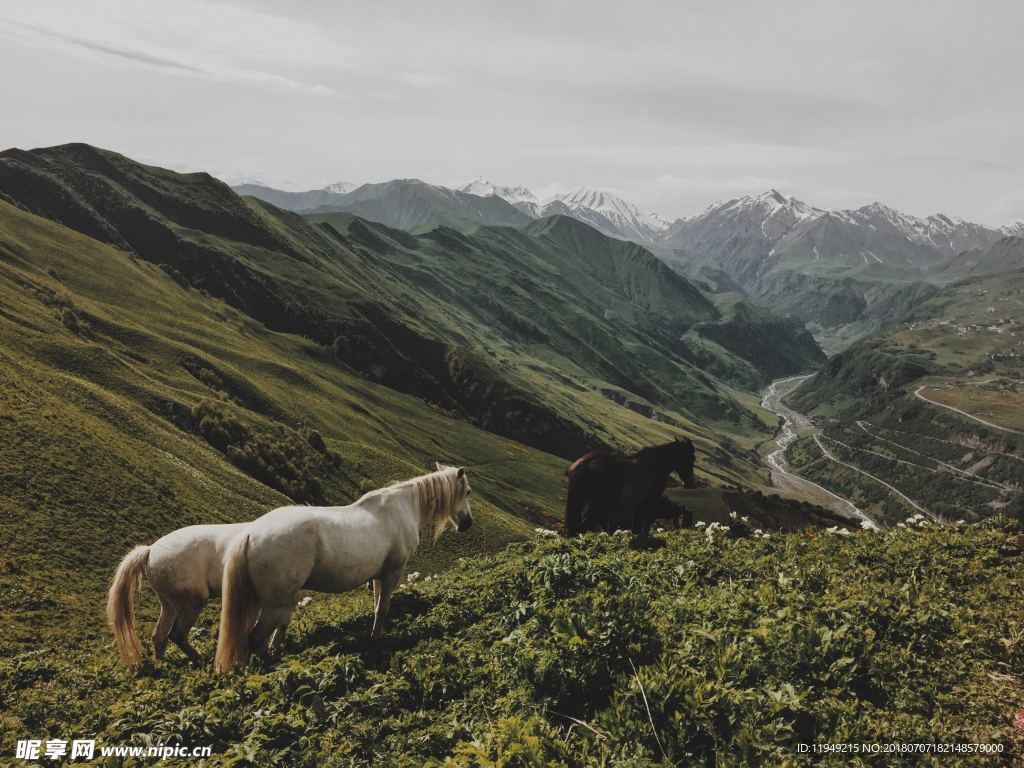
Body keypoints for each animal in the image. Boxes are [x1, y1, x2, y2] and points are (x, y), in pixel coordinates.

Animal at [106, 524, 247, 667]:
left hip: (169, 605)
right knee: (177, 634)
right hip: (193, 602)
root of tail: (150, 550)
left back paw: (162, 664)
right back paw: (199, 661)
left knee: (159, 635)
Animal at [218, 462, 473, 671]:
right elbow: (383, 607)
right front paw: (377, 638)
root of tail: (250, 534)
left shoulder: (378, 575)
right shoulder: (393, 571)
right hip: (274, 603)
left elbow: (377, 605)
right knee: (256, 638)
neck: (405, 507)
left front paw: (376, 633)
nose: (468, 524)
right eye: (468, 492)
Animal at [561, 442, 696, 536]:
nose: (690, 482)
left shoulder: (637, 506)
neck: (655, 466)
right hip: (598, 508)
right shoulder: (648, 504)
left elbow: (636, 527)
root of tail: (585, 463)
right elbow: (642, 527)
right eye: (692, 458)